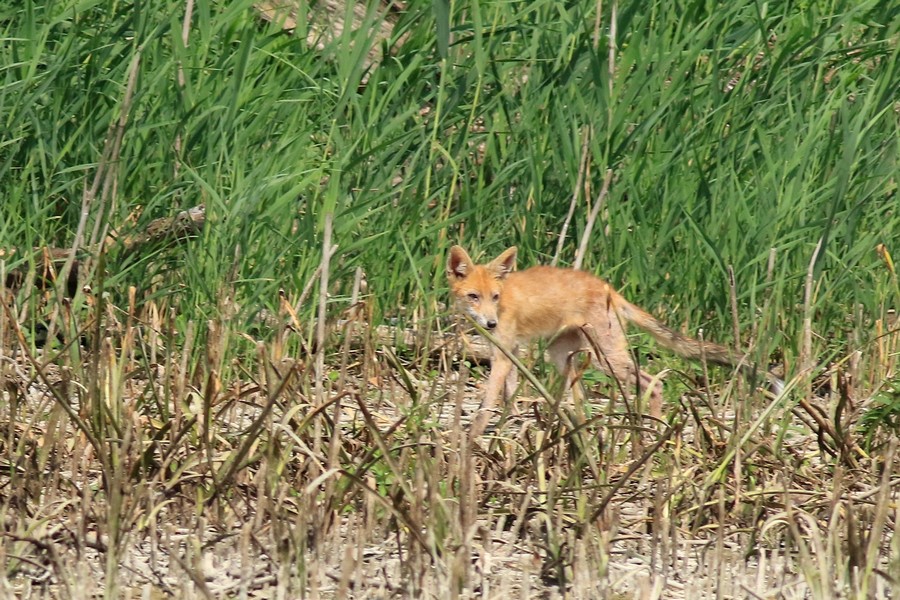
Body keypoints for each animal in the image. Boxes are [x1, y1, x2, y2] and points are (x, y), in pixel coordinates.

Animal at [446, 244, 784, 436]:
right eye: (474, 297)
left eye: (495, 297)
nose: (490, 322)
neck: (505, 302)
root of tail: (608, 288)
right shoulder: (508, 350)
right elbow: (508, 394)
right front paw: (508, 423)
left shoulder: (504, 353)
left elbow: (489, 399)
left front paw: (474, 433)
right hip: (563, 356)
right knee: (582, 394)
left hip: (605, 358)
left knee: (655, 383)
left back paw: (652, 430)